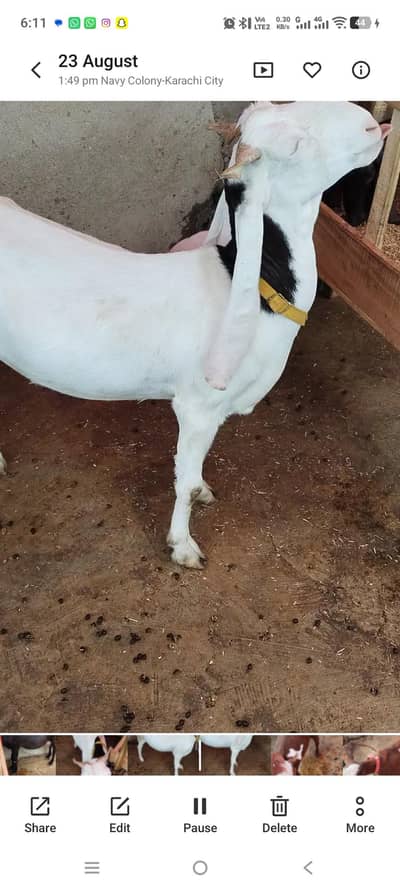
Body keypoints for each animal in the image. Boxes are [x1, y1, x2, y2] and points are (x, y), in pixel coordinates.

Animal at [0, 103, 390, 567]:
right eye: (296, 143)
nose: (372, 124)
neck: (249, 283)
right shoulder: (196, 405)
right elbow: (182, 482)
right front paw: (182, 546)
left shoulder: (213, 413)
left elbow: (196, 469)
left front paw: (203, 491)